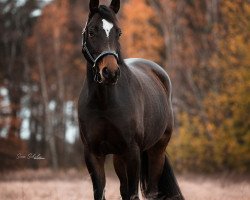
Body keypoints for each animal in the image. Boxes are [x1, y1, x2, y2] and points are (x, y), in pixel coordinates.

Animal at [77, 0, 184, 199]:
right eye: (92, 31)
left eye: (118, 32)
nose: (110, 72)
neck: (104, 103)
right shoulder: (93, 154)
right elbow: (101, 193)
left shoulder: (132, 152)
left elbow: (134, 193)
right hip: (119, 158)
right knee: (124, 190)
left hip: (156, 150)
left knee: (152, 191)